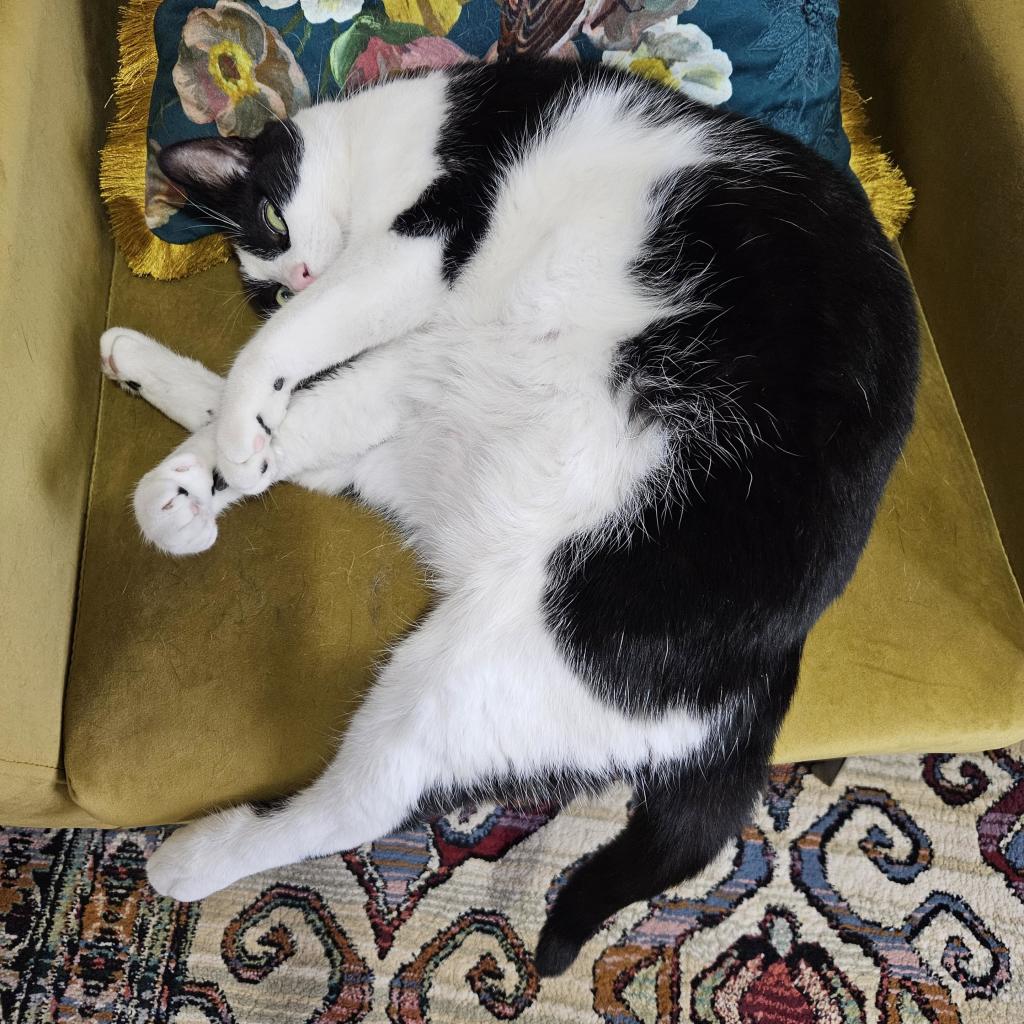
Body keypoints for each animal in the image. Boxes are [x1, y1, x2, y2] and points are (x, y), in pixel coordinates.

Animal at [101, 58, 921, 974]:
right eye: (268, 286)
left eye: (275, 221)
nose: (299, 280)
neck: (392, 136)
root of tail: (766, 670)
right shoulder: (404, 317)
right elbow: (283, 377)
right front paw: (226, 442)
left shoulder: (423, 242)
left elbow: (283, 354)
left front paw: (244, 423)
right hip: (431, 412)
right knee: (318, 447)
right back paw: (167, 460)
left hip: (489, 652)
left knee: (359, 806)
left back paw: (185, 859)